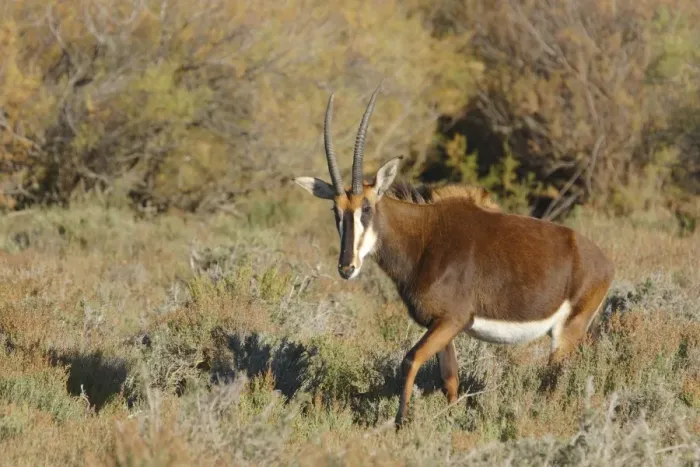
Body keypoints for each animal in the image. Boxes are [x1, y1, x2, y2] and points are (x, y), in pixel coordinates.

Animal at [293, 85, 615, 427]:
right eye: (336, 210)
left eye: (366, 207)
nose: (346, 267)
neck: (424, 238)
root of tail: (604, 261)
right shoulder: (440, 324)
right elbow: (449, 378)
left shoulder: (453, 319)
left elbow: (410, 360)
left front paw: (401, 422)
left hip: (568, 331)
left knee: (555, 380)